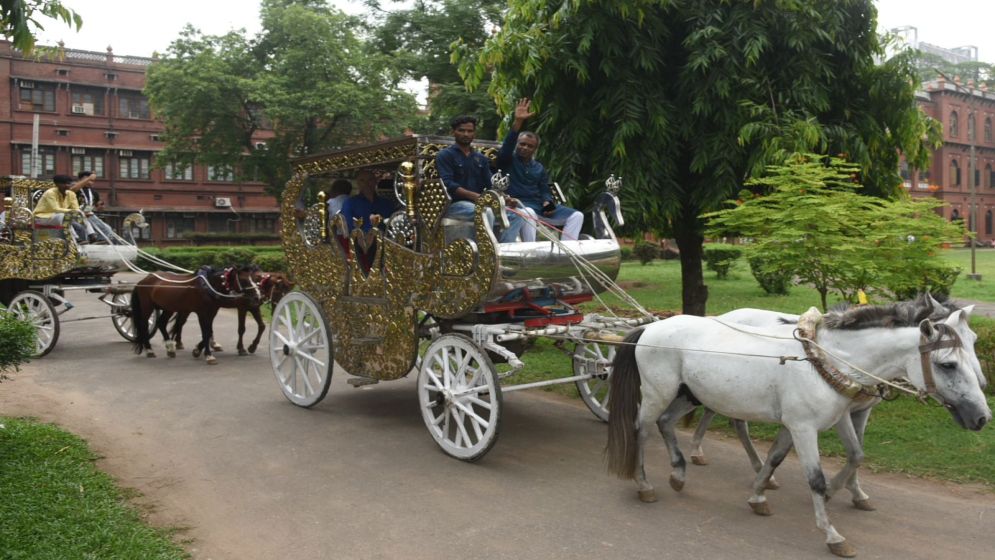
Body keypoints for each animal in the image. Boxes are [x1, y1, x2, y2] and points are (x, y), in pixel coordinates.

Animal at [130, 266, 262, 366]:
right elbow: (206, 332)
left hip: (168, 308)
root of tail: (143, 280)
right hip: (147, 307)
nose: (258, 297)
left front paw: (198, 350)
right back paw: (149, 350)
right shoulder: (202, 313)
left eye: (255, 279)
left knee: (161, 323)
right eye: (244, 280)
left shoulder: (212, 311)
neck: (207, 287)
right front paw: (208, 355)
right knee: (144, 325)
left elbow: (209, 331)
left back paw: (170, 348)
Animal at [608, 300, 988, 556]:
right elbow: (815, 480)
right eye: (948, 364)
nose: (982, 417)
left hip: (690, 394)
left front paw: (759, 495)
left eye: (973, 345)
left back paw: (679, 473)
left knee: (667, 423)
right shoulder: (805, 428)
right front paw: (833, 534)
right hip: (658, 393)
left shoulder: (818, 420)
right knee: (642, 429)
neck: (827, 359)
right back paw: (644, 484)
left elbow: (793, 457)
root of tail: (651, 327)